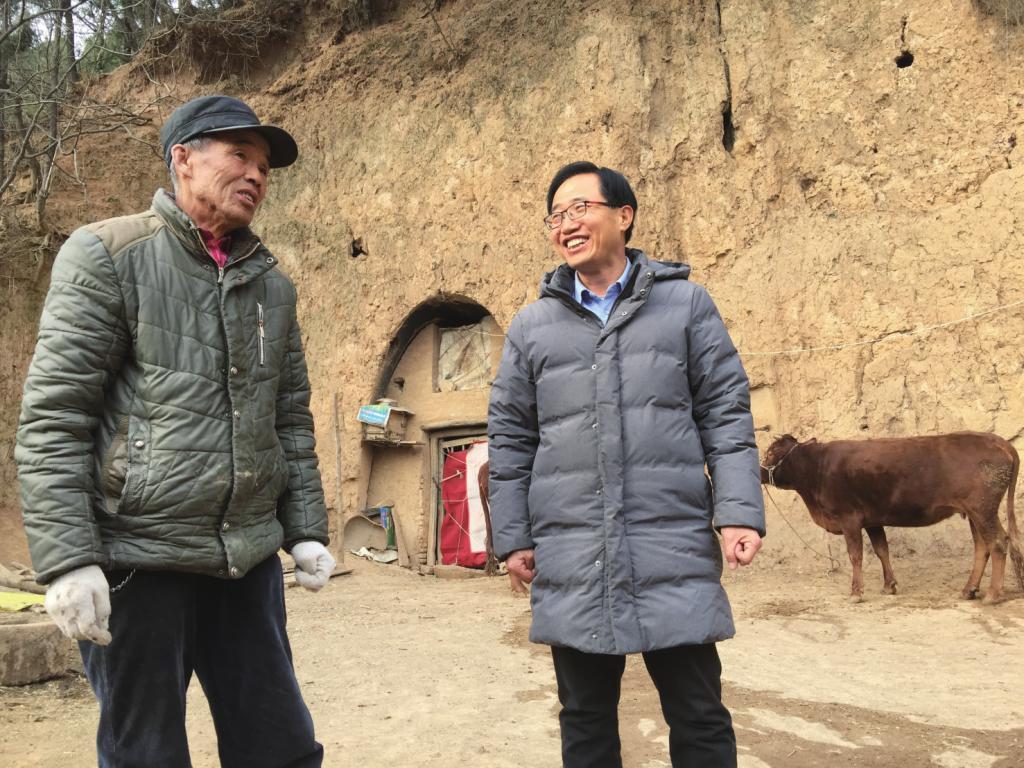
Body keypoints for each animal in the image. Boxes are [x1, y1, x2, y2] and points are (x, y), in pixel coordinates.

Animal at [760, 432, 1023, 603]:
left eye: (771, 452)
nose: (760, 471)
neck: (817, 469)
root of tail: (999, 441)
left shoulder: (849, 519)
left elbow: (856, 555)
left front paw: (856, 592)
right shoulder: (873, 520)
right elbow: (881, 550)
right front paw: (889, 586)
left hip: (982, 510)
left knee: (998, 543)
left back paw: (993, 594)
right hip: (973, 513)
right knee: (982, 547)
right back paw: (969, 590)